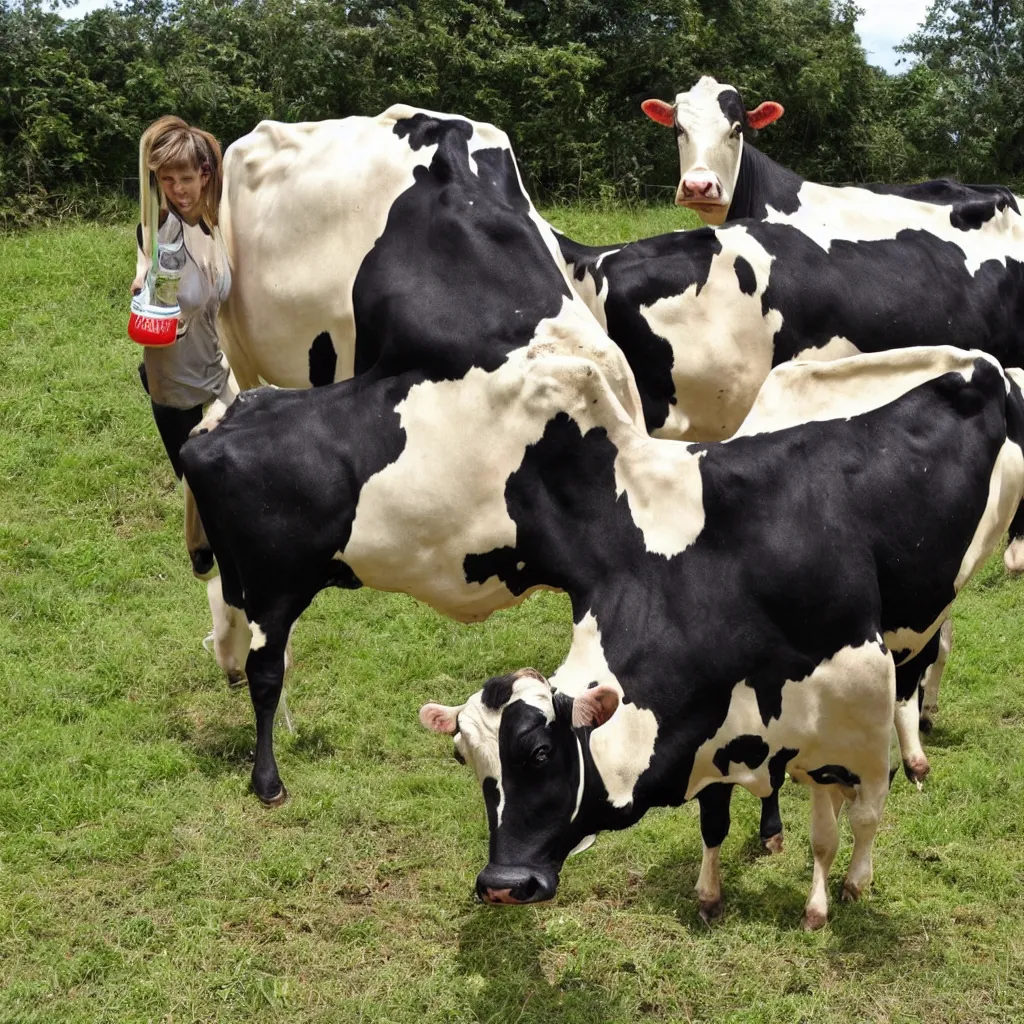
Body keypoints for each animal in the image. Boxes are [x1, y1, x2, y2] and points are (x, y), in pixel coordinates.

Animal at [417, 346, 1024, 929]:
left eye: (541, 752)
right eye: (462, 757)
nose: (503, 884)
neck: (721, 579)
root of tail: (976, 359)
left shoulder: (857, 723)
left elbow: (859, 815)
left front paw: (845, 888)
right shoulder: (714, 726)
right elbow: (718, 820)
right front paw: (711, 894)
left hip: (932, 607)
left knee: (925, 662)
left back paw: (917, 752)